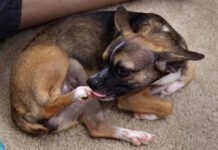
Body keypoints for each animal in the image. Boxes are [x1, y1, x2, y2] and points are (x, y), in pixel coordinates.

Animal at [9, 6, 204, 145]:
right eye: (102, 60)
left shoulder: (181, 59)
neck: (156, 36)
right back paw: (79, 92)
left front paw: (167, 88)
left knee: (97, 128)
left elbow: (189, 72)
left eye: (123, 71)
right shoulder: (128, 98)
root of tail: (14, 106)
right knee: (47, 105)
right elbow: (168, 106)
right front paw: (148, 113)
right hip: (59, 56)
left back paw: (135, 135)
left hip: (88, 102)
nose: (91, 81)